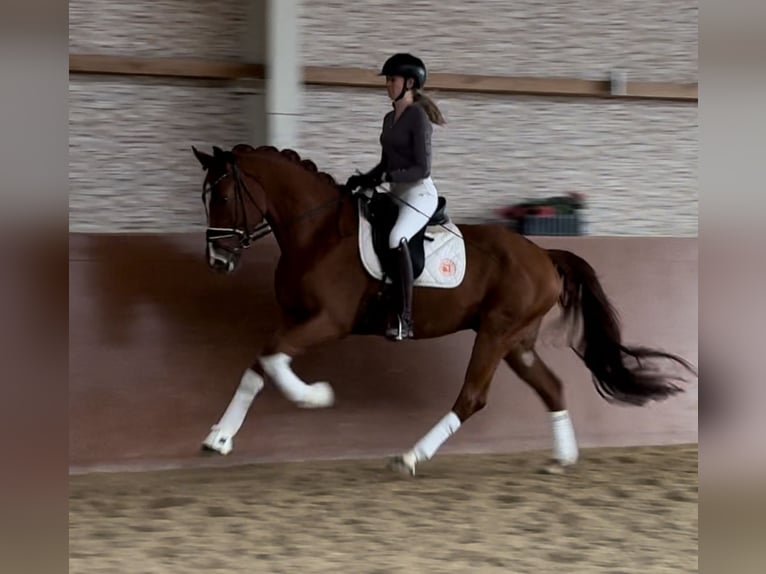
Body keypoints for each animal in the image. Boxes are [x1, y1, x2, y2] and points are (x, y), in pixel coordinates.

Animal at [189, 143, 700, 476]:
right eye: (205, 196)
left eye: (224, 196)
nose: (217, 261)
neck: (318, 233)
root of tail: (543, 254)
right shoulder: (295, 319)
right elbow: (261, 363)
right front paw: (219, 437)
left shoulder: (328, 322)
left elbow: (275, 361)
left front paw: (315, 396)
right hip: (517, 341)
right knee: (551, 387)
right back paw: (563, 458)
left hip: (495, 333)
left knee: (472, 397)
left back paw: (411, 456)